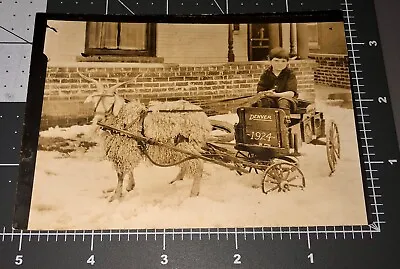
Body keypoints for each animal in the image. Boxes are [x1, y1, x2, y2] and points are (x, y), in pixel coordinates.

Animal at [78, 71, 212, 201]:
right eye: (95, 102)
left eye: (111, 104)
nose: (98, 120)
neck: (122, 118)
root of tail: (204, 119)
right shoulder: (129, 148)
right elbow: (129, 170)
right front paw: (130, 186)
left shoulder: (123, 150)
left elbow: (120, 175)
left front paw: (116, 196)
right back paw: (176, 180)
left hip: (187, 143)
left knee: (199, 165)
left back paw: (193, 193)